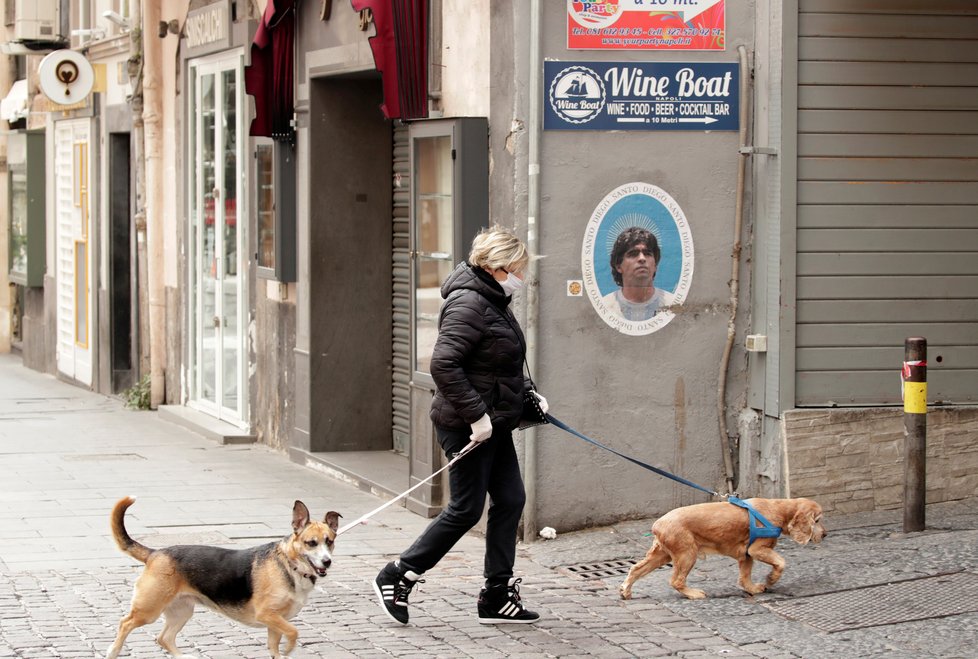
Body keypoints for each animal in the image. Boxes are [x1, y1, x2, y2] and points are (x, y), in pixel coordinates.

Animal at [106, 498, 340, 656]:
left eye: (329, 541)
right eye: (312, 543)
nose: (327, 561)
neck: (291, 566)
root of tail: (155, 553)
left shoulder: (275, 622)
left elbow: (276, 646)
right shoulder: (268, 615)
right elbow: (293, 632)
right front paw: (290, 648)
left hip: (182, 611)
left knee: (163, 638)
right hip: (149, 610)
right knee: (125, 623)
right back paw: (113, 651)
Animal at [616, 498, 824, 600]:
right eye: (817, 520)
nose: (825, 534)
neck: (779, 508)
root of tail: (657, 525)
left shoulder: (746, 555)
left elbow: (744, 576)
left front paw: (753, 588)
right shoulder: (757, 549)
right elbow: (781, 562)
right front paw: (771, 579)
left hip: (663, 555)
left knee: (636, 569)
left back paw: (626, 591)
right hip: (687, 554)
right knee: (676, 580)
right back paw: (694, 594)